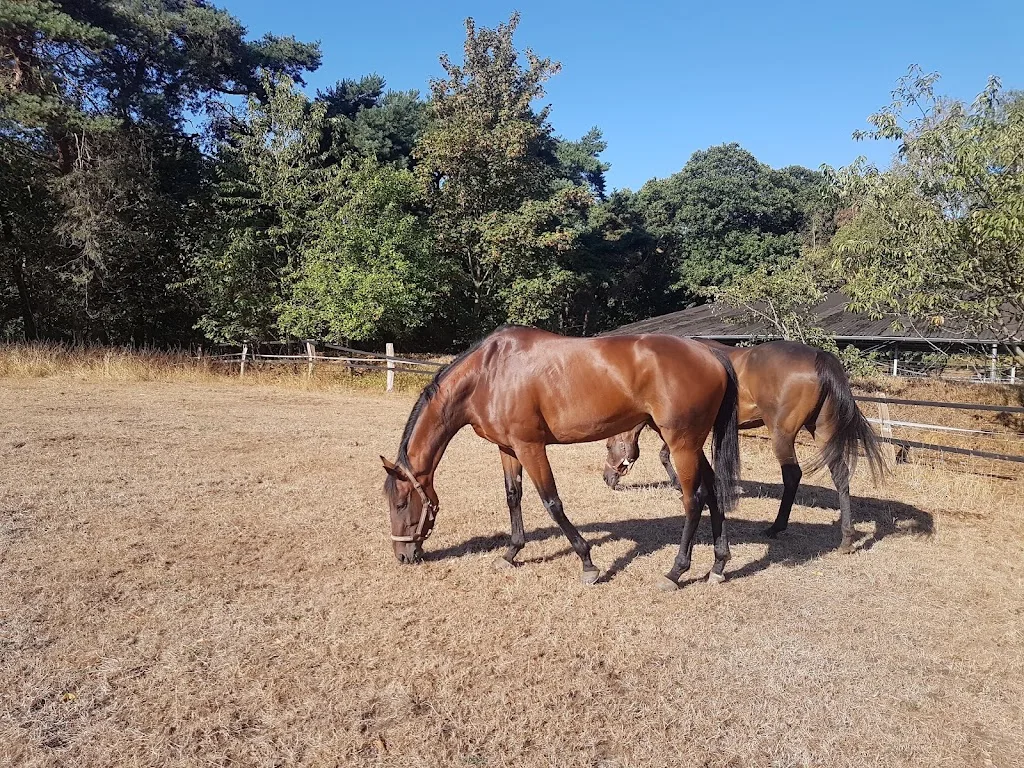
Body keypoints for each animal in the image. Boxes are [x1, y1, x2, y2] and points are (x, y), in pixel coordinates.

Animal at [382, 326, 741, 589]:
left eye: (400, 503)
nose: (402, 555)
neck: (489, 374)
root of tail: (710, 353)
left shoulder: (530, 446)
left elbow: (551, 502)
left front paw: (588, 563)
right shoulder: (508, 448)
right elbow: (513, 496)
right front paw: (510, 553)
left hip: (681, 443)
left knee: (693, 499)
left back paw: (675, 572)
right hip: (690, 444)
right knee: (713, 492)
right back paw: (718, 565)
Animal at [603, 340, 887, 554]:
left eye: (608, 446)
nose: (607, 478)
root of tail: (819, 356)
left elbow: (664, 455)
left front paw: (678, 484)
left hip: (782, 434)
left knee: (792, 475)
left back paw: (776, 527)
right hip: (821, 430)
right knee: (840, 474)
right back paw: (847, 539)